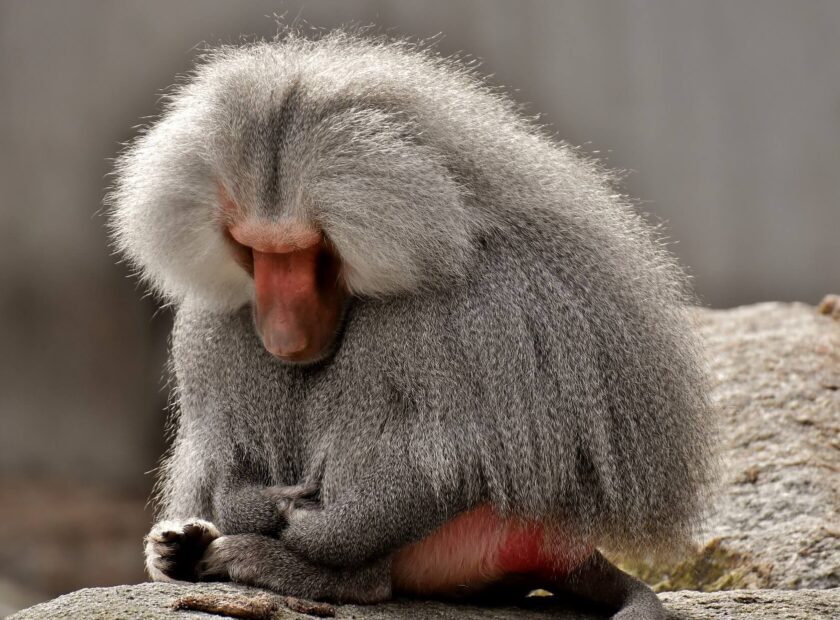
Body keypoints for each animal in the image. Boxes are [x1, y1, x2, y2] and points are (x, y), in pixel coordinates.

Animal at [108, 30, 713, 620]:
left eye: (311, 251)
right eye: (250, 249)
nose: (281, 335)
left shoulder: (476, 311)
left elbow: (456, 462)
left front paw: (311, 531)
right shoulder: (218, 324)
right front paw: (235, 515)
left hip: (495, 529)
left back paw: (303, 570)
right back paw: (189, 551)